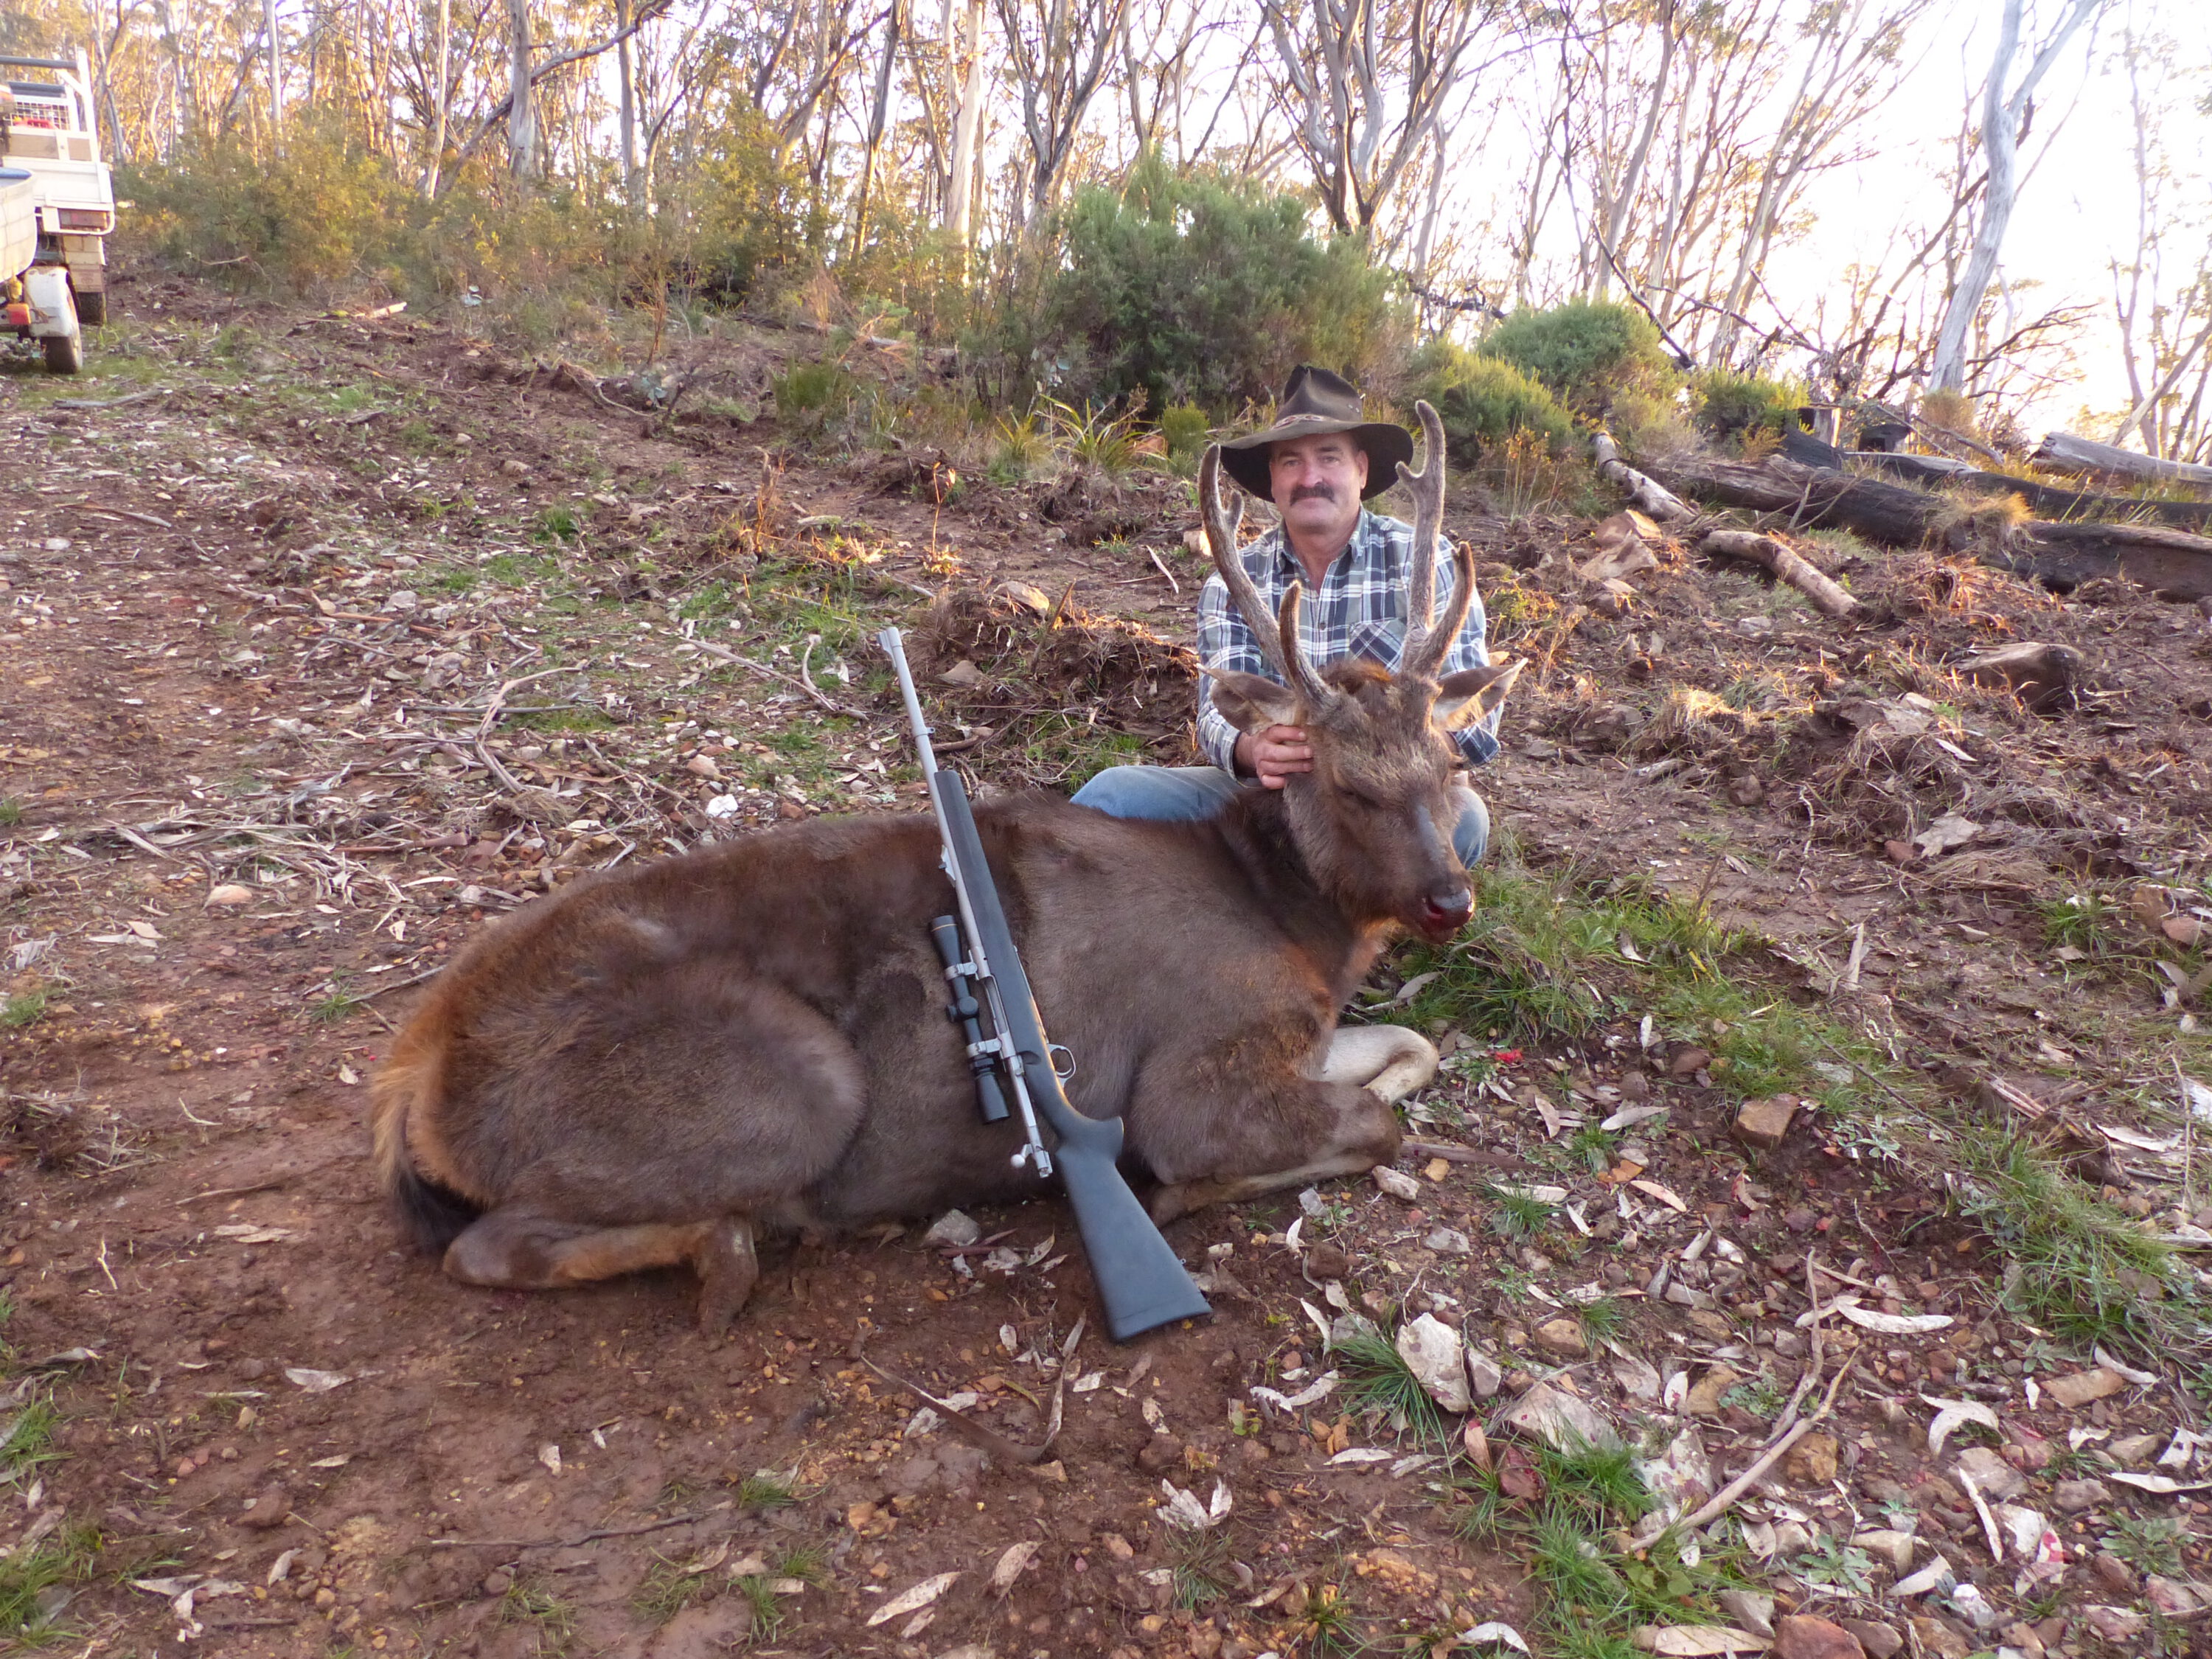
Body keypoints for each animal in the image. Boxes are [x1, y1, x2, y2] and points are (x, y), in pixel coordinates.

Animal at [376, 414, 1522, 1336]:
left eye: (1446, 764)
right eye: (1351, 786)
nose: (1448, 899)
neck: (1294, 924)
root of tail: (416, 1077)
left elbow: (1411, 1050)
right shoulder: (1193, 1070)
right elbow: (1366, 1128)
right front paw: (1182, 1195)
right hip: (800, 1080)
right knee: (487, 1243)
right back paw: (728, 1246)